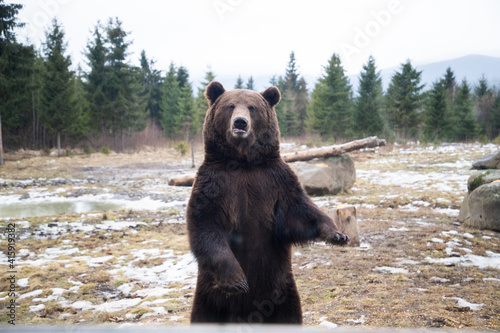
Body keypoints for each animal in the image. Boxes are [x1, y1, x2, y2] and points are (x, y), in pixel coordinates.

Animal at [186, 81, 350, 322]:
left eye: (252, 107)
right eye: (230, 106)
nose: (240, 122)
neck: (243, 163)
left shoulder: (276, 182)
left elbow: (300, 214)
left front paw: (338, 234)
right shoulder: (212, 186)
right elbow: (206, 226)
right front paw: (237, 281)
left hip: (282, 291)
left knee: (289, 315)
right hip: (210, 298)